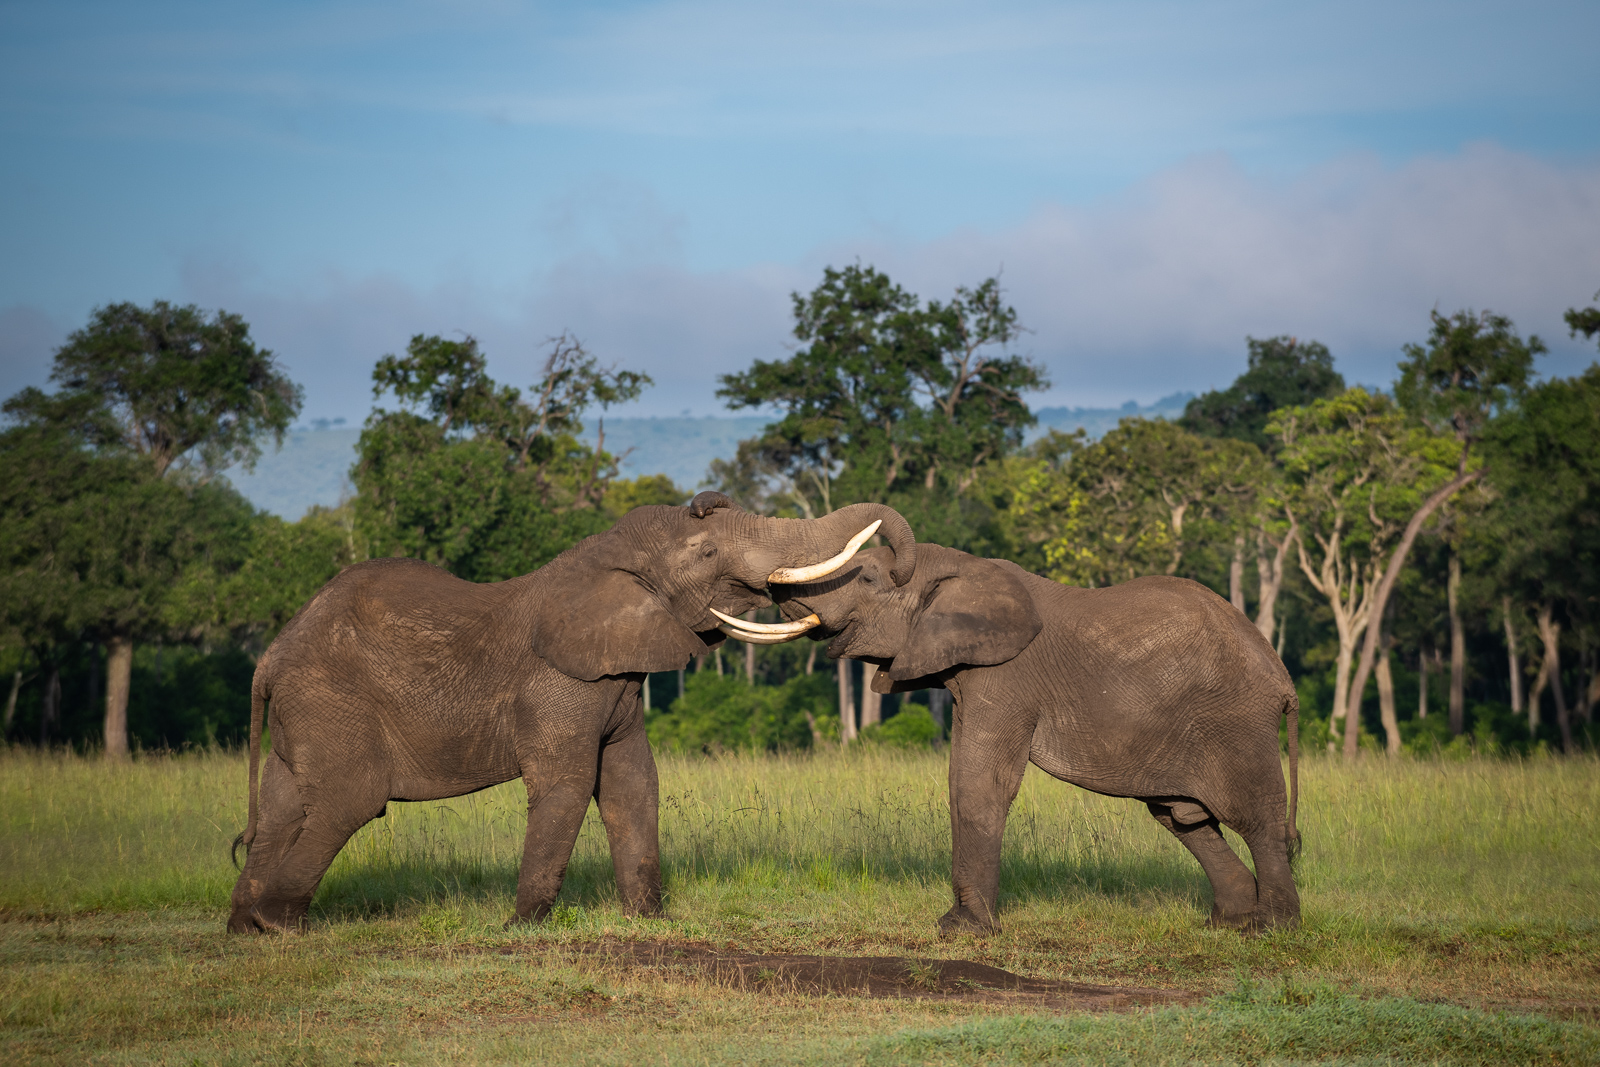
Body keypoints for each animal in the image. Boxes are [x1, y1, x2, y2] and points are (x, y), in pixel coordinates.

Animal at [232, 495, 921, 934]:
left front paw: (650, 921)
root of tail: (269, 660)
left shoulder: (618, 681)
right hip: (331, 700)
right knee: (349, 800)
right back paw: (281, 925)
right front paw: (518, 930)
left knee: (282, 806)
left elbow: (632, 783)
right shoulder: (557, 682)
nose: (897, 567)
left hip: (305, 711)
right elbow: (567, 784)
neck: (603, 557)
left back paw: (245, 928)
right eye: (704, 554)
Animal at [736, 547, 1299, 940]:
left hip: (1235, 721)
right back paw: (1226, 923)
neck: (959, 568)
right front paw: (961, 925)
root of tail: (1281, 675)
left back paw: (1269, 929)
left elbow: (980, 782)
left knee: (1255, 814)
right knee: (1183, 817)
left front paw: (961, 932)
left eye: (870, 578)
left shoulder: (1006, 677)